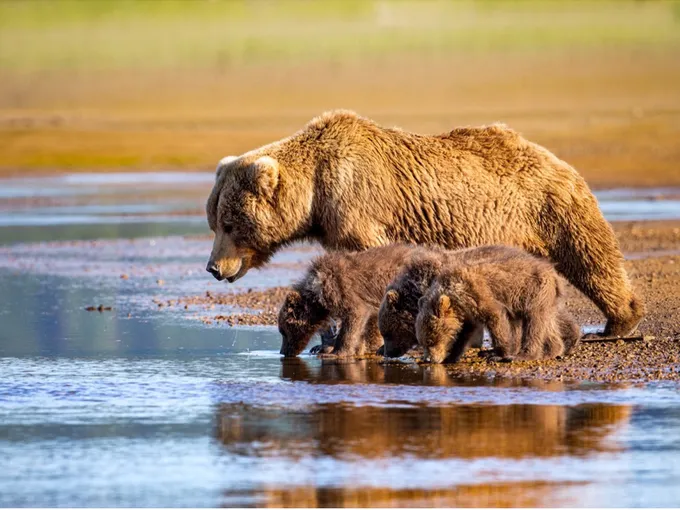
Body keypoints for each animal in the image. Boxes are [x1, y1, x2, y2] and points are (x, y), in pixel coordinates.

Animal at [206, 110, 643, 337]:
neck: (315, 191)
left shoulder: (358, 204)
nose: (213, 267)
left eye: (229, 223)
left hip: (548, 206)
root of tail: (556, 158)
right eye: (214, 221)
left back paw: (620, 319)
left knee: (590, 256)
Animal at [415, 246, 581, 363]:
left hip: (533, 292)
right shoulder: (467, 312)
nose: (428, 359)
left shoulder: (476, 293)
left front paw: (499, 353)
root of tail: (553, 274)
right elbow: (465, 332)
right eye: (422, 341)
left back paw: (522, 355)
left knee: (534, 323)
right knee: (543, 324)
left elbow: (495, 317)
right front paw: (451, 356)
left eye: (430, 340)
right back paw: (552, 350)